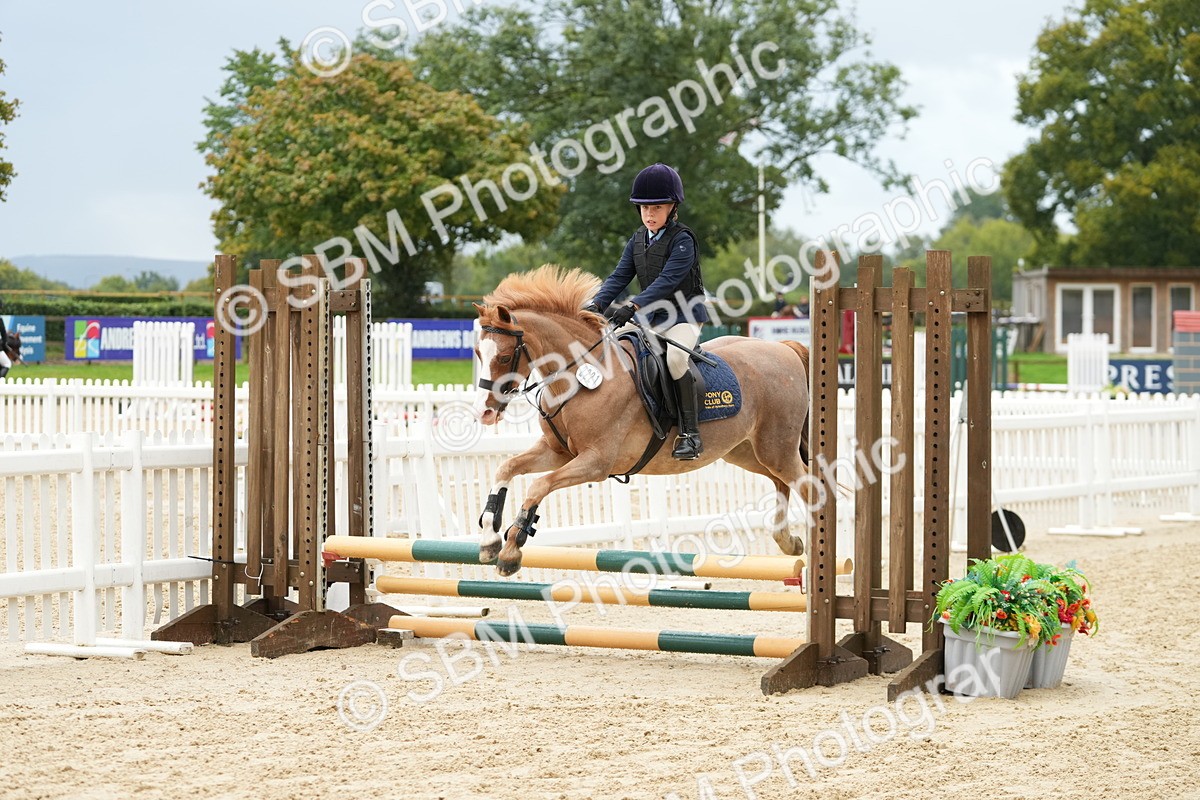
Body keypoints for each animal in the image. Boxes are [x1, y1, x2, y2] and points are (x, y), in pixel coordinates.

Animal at [472, 265, 816, 577]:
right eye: (477, 353)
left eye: (504, 357)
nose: (484, 413)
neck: (582, 376)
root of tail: (784, 348)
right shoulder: (559, 453)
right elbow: (507, 468)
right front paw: (490, 539)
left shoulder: (596, 462)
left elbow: (538, 486)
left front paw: (512, 549)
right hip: (745, 451)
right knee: (781, 481)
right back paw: (789, 542)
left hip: (775, 447)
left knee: (807, 485)